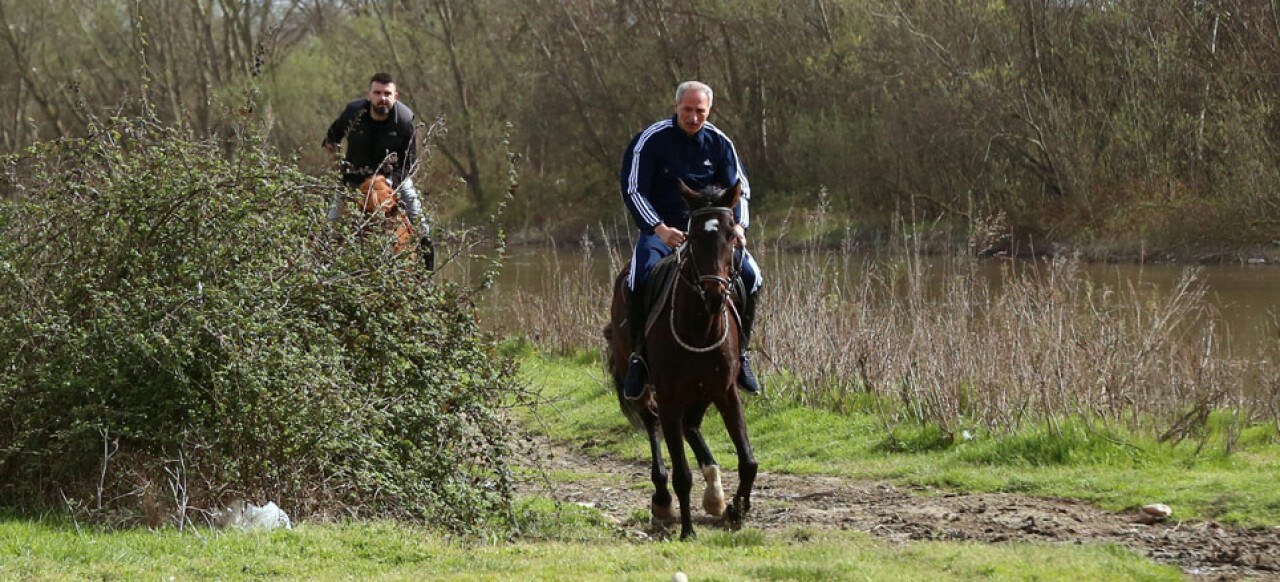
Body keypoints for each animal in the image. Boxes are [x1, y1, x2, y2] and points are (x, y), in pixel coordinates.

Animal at [604, 181, 752, 542]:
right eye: (695, 236)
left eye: (732, 235)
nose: (715, 294)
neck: (699, 325)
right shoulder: (670, 396)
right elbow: (681, 473)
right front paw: (687, 530)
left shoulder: (726, 391)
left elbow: (748, 461)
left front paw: (738, 510)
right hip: (645, 386)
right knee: (654, 424)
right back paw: (663, 500)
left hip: (701, 391)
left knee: (691, 425)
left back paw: (715, 494)